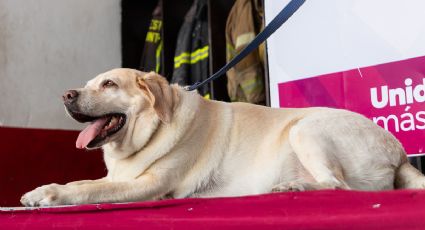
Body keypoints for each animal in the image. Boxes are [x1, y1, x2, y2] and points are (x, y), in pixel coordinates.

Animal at [21, 68, 424, 207]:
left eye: (108, 84)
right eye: (88, 83)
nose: (66, 95)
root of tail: (400, 153)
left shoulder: (148, 185)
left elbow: (87, 188)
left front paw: (48, 194)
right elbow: (89, 181)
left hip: (306, 128)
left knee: (340, 186)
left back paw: (294, 187)